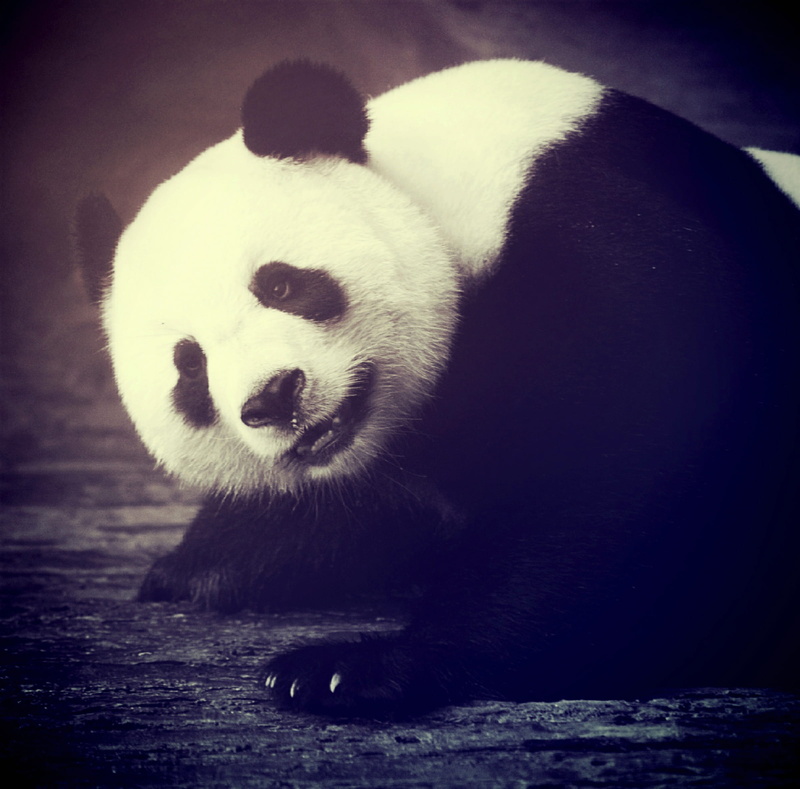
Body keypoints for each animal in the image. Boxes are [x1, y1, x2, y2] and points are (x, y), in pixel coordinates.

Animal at [76, 59, 800, 716]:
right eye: (189, 365)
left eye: (280, 283)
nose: (274, 396)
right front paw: (196, 564)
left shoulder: (603, 242)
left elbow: (627, 474)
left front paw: (350, 669)